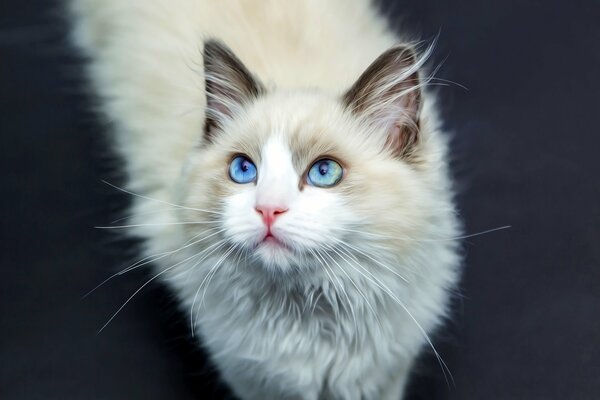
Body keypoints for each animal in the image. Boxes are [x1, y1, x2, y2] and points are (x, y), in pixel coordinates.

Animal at [72, 1, 462, 398]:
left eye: (324, 172)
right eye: (244, 170)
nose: (268, 209)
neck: (307, 318)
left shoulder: (383, 377)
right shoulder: (252, 379)